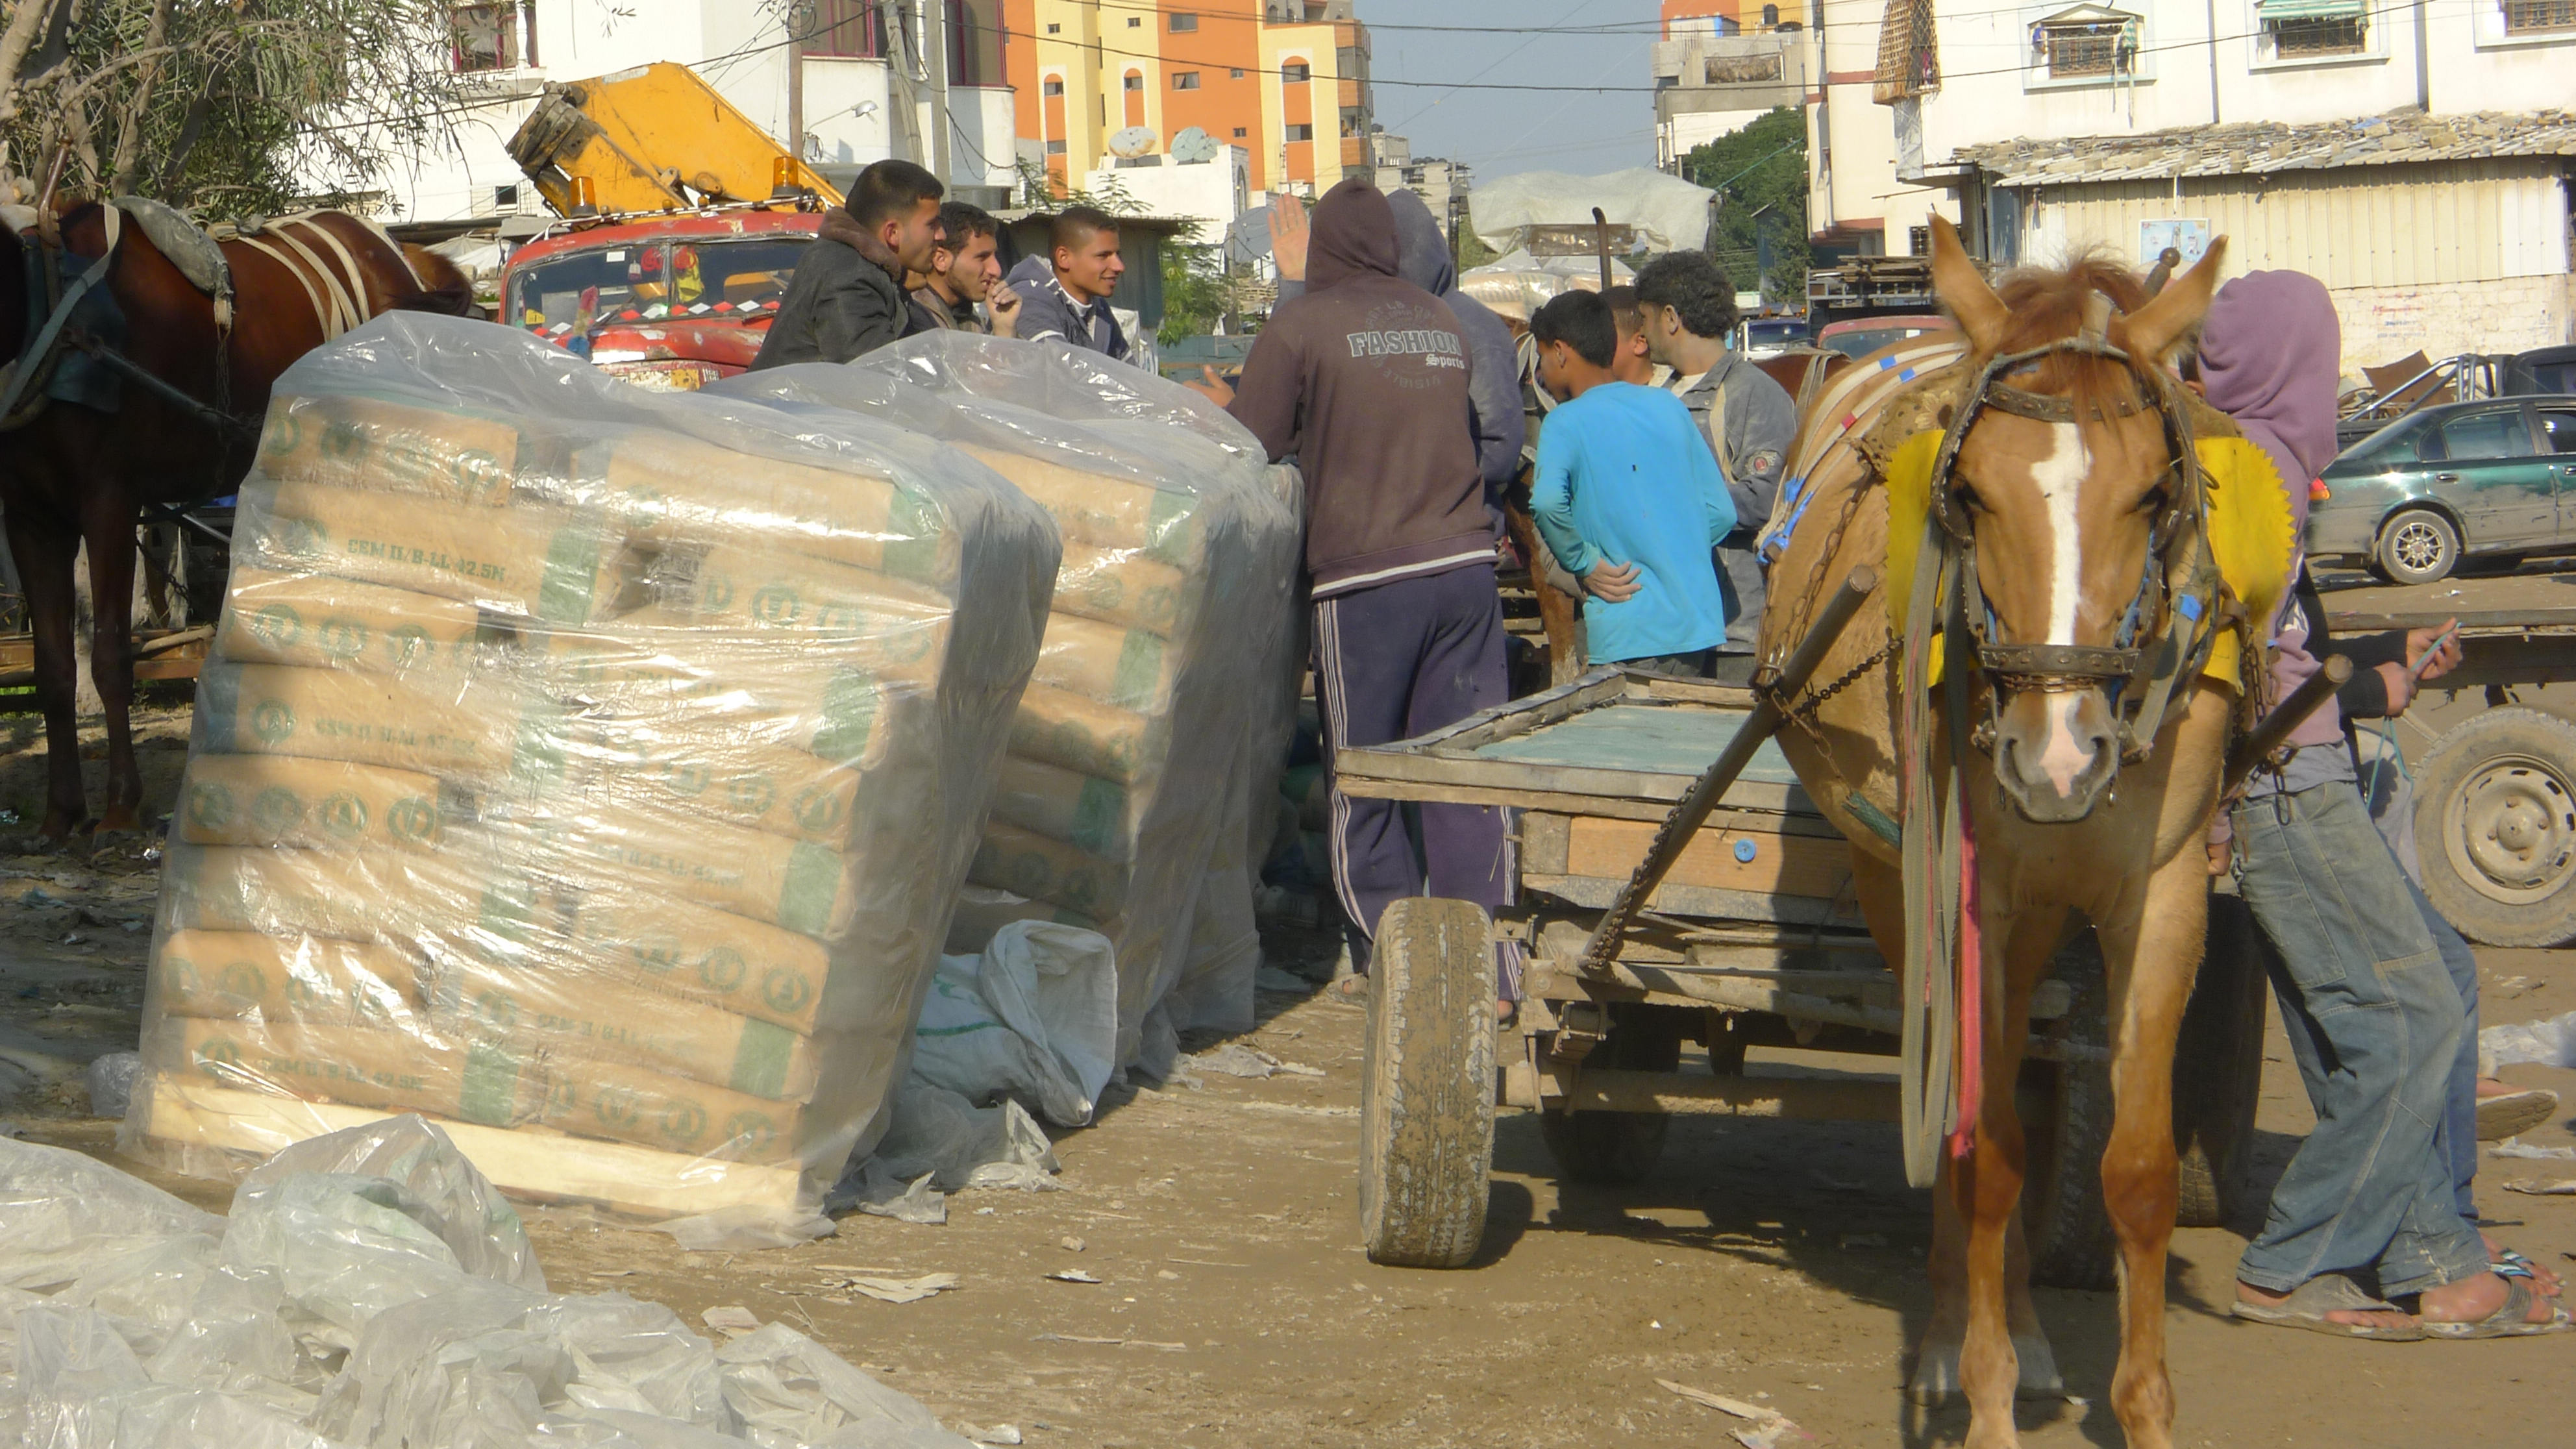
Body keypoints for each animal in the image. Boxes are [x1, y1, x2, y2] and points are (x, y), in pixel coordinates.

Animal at [0, 203, 474, 835]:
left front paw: (121, 806)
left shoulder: (110, 502)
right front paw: (61, 813)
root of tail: (402, 259)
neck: (46, 315)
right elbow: (53, 670)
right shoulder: (30, 519)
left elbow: (108, 659)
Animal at [1762, 216, 2246, 1444]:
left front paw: (2144, 1410)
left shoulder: (2164, 894)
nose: (2057, 756)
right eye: (1969, 496)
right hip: (1901, 883)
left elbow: (2136, 1169)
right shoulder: (1967, 894)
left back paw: (2024, 1331)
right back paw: (1954, 1335)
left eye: (2154, 495)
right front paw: (1976, 1395)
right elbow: (1984, 1153)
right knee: (1956, 1103)